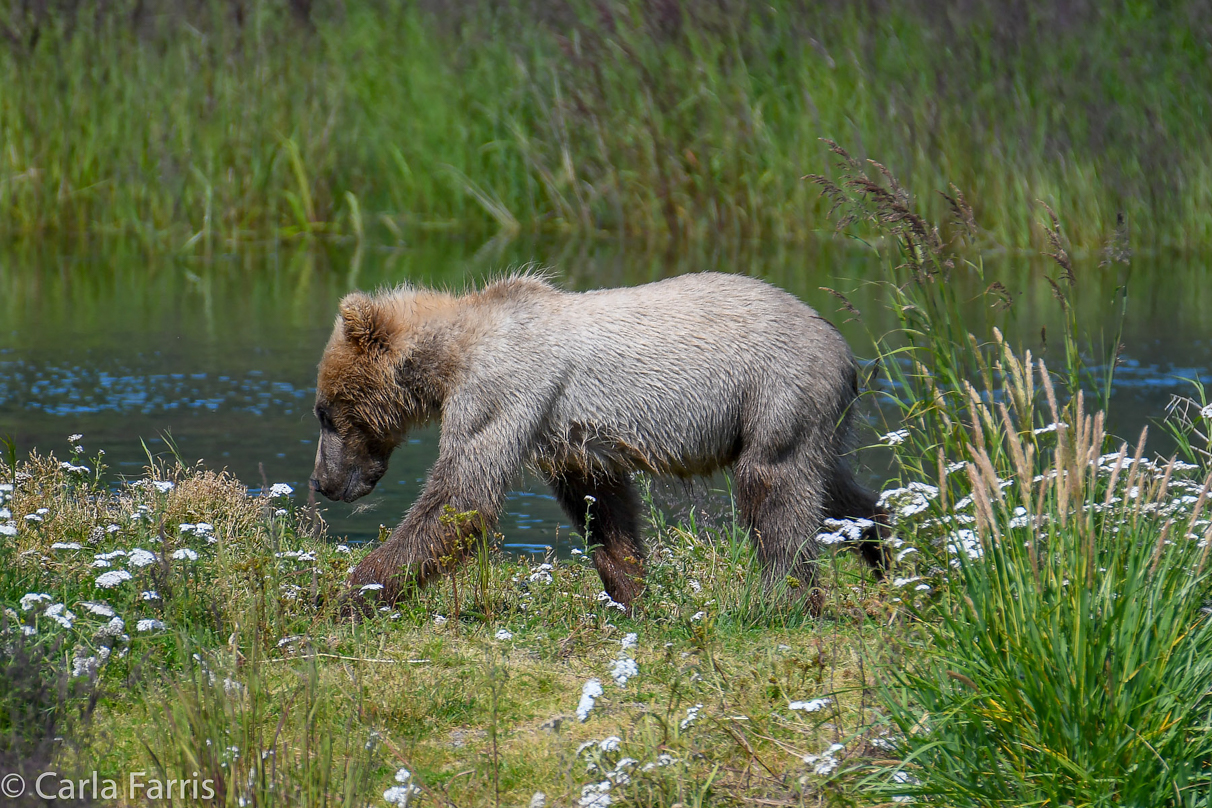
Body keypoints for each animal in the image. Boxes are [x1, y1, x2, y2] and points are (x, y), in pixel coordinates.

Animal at [307, 273, 887, 612]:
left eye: (324, 412)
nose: (322, 482)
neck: (452, 353)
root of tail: (844, 350)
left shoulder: (504, 389)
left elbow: (460, 496)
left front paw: (351, 591)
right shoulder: (566, 437)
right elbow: (600, 507)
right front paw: (632, 594)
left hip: (776, 393)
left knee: (775, 491)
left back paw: (784, 601)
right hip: (815, 419)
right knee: (837, 490)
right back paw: (889, 549)